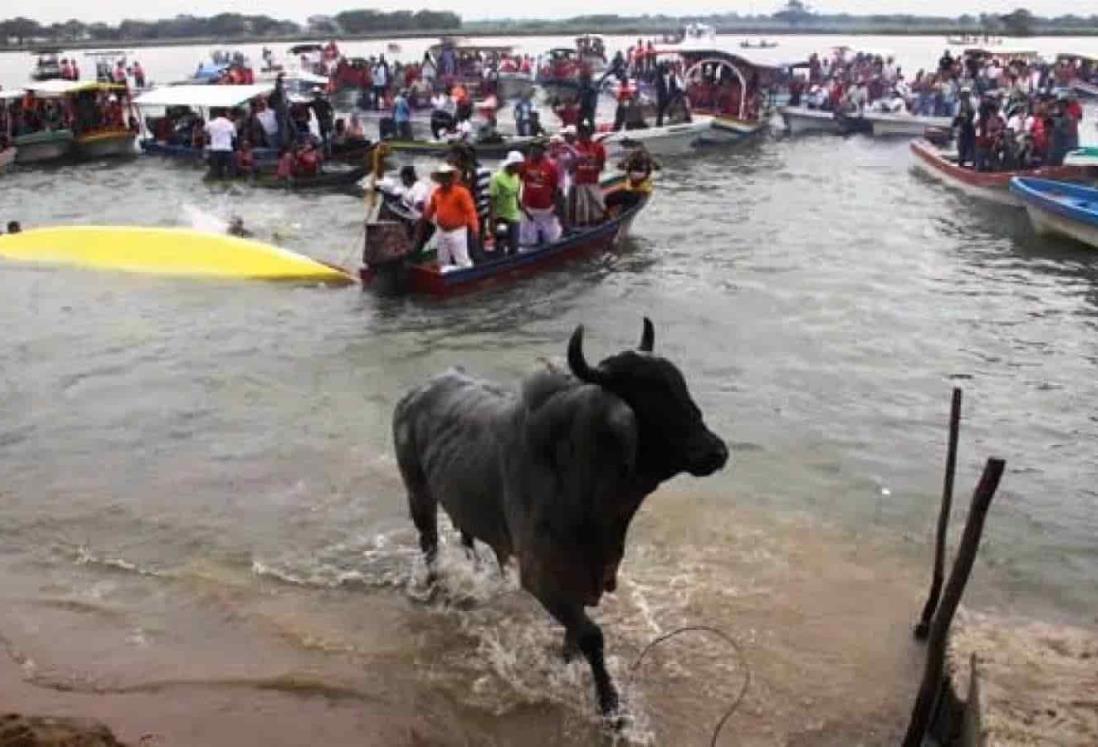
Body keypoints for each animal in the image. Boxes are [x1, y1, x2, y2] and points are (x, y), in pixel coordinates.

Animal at [390, 318, 724, 716]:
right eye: (648, 395)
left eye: (680, 385)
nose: (716, 451)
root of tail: (415, 393)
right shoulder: (541, 577)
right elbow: (592, 636)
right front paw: (610, 705)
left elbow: (575, 636)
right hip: (417, 493)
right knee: (429, 544)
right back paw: (436, 583)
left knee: (466, 539)